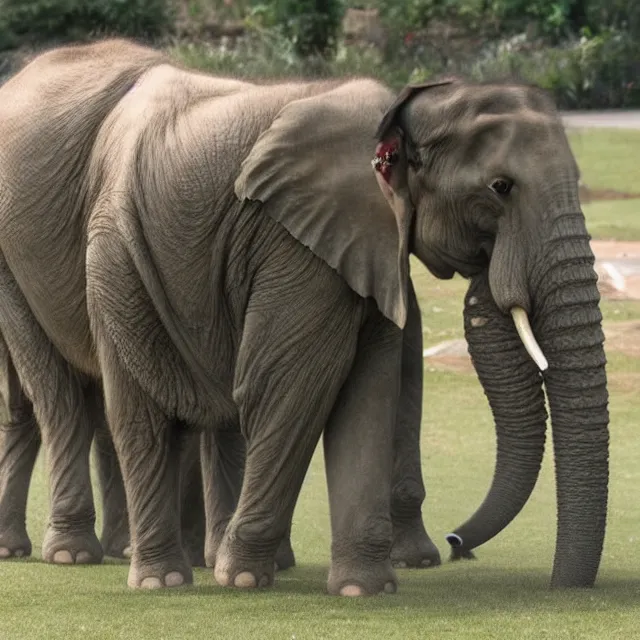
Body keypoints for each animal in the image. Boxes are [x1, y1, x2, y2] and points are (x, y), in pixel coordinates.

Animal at [0, 37, 608, 592]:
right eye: (500, 187)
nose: (459, 542)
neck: (406, 106)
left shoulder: (363, 247)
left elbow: (373, 385)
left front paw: (365, 588)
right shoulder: (297, 241)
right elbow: (291, 382)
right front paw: (244, 578)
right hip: (101, 255)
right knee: (107, 405)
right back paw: (136, 572)